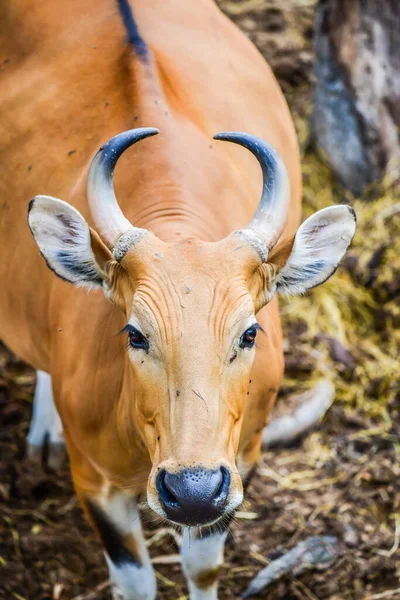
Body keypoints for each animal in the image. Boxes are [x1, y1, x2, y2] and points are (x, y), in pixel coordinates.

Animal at [0, 0, 356, 596]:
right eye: (134, 333)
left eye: (249, 332)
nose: (190, 490)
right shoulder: (93, 482)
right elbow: (137, 581)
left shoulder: (240, 462)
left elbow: (202, 564)